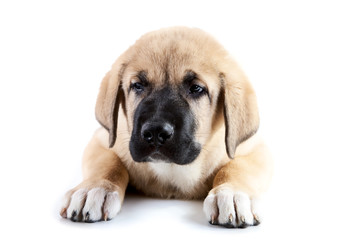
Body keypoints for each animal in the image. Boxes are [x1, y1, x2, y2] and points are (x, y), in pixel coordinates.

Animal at [59, 27, 272, 228]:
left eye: (196, 88)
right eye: (137, 85)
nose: (155, 132)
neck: (172, 171)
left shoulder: (254, 149)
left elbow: (237, 167)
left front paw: (231, 193)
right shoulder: (103, 139)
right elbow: (107, 164)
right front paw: (94, 188)